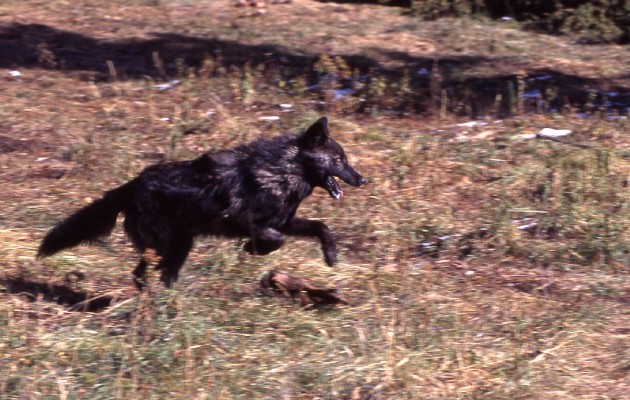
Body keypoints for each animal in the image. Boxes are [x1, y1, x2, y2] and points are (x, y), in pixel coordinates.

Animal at [38, 115, 366, 288]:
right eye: (340, 160)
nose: (362, 179)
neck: (282, 172)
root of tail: (130, 185)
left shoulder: (285, 220)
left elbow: (321, 227)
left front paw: (331, 256)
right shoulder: (243, 221)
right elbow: (276, 239)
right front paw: (253, 249)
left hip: (179, 247)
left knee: (153, 275)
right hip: (166, 246)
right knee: (143, 273)